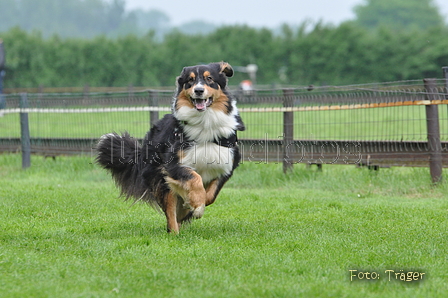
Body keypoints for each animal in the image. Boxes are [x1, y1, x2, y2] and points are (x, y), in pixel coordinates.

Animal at [96, 62, 247, 233]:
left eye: (209, 78)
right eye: (190, 80)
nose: (198, 90)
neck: (205, 121)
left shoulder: (226, 164)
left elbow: (210, 195)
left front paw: (194, 205)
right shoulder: (173, 165)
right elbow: (195, 179)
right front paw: (196, 205)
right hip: (161, 179)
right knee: (170, 212)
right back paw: (174, 232)